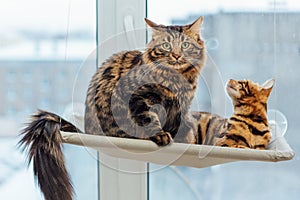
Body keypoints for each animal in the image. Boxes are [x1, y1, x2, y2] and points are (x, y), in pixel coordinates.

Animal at [19, 16, 206, 200]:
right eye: (166, 46)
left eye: (185, 45)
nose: (176, 55)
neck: (178, 80)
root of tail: (87, 132)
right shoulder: (137, 98)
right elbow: (148, 118)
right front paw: (160, 134)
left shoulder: (180, 109)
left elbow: (180, 127)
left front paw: (183, 141)